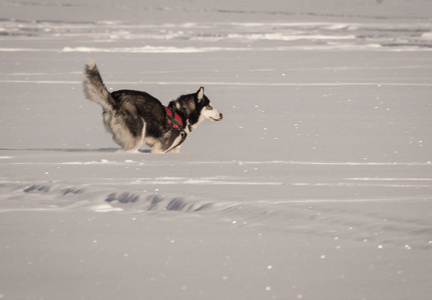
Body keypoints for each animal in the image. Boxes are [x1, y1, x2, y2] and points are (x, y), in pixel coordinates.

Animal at [82, 61, 223, 154]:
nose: (221, 114)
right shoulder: (159, 149)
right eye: (209, 106)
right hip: (138, 132)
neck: (183, 115)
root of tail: (116, 97)